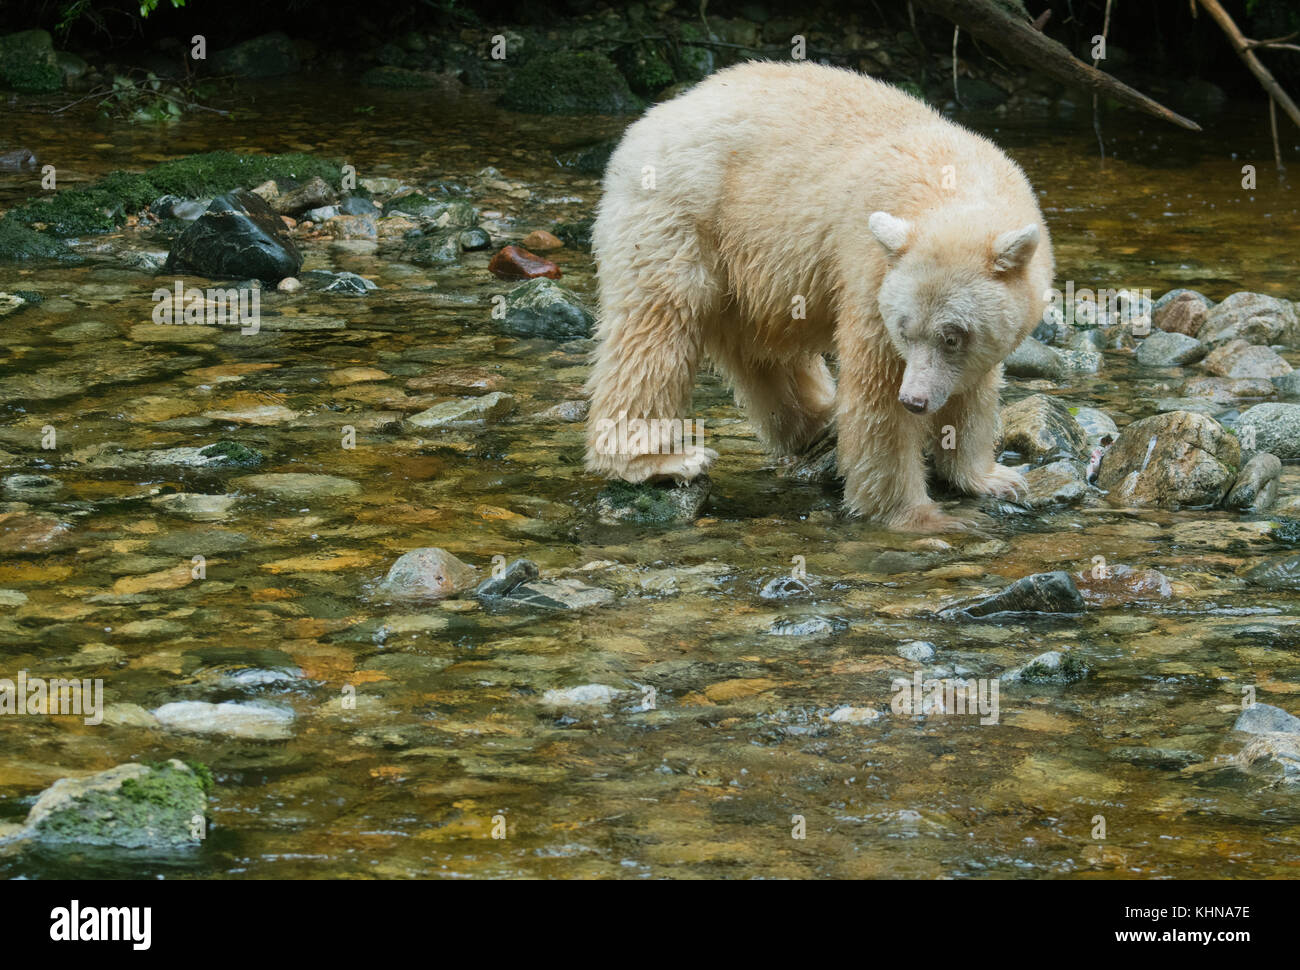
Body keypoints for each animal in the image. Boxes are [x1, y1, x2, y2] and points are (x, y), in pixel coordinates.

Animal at [585, 60, 1050, 527]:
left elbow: (974, 390)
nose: (916, 400)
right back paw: (657, 460)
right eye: (904, 331)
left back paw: (817, 420)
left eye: (953, 336)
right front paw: (920, 515)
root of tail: (653, 117)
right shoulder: (870, 269)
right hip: (682, 211)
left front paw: (992, 478)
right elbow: (878, 393)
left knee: (758, 345)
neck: (950, 179)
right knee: (659, 325)